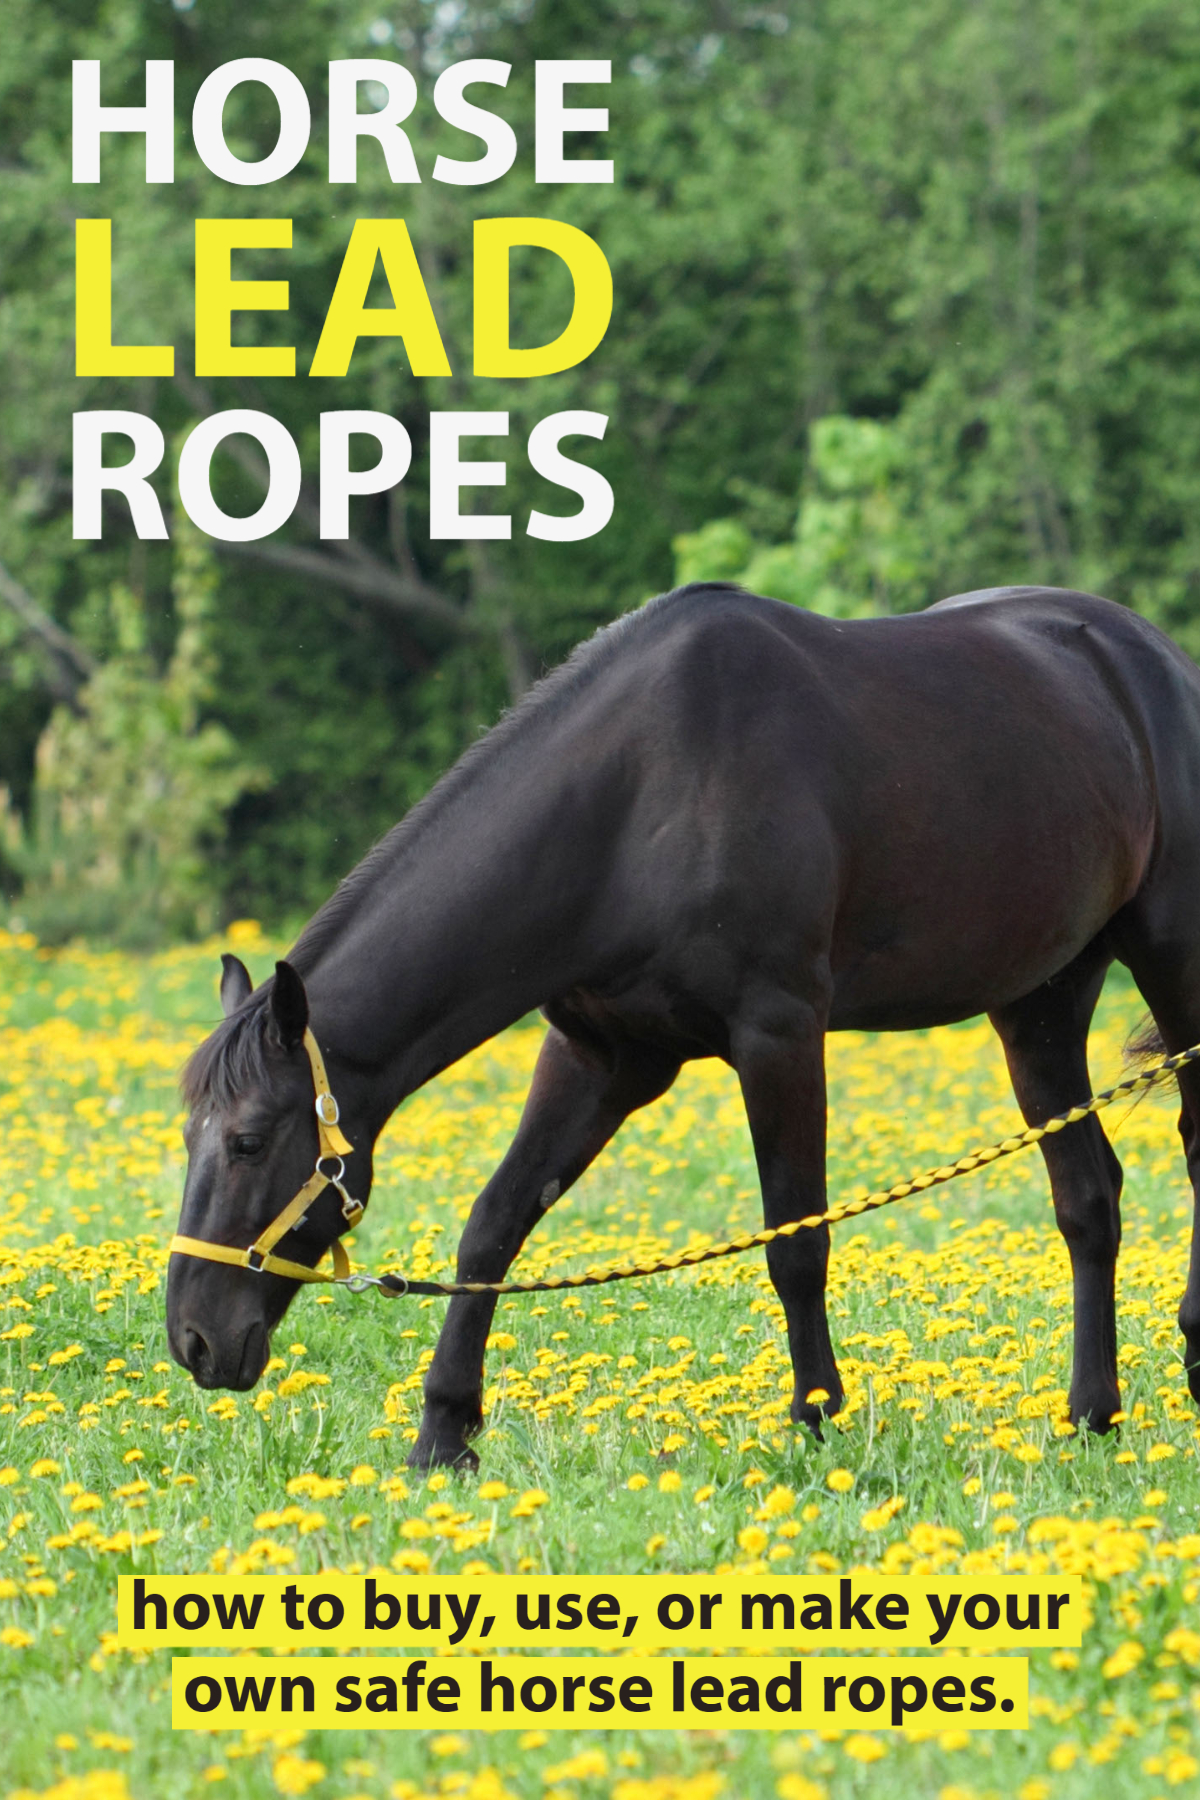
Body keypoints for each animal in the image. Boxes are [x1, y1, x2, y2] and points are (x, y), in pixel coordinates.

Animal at [167, 581, 1200, 1469]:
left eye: (251, 1141)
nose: (193, 1339)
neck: (642, 799)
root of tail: (1153, 660)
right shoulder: (602, 1055)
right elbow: (492, 1227)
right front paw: (444, 1434)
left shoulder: (779, 1035)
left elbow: (796, 1241)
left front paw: (816, 1422)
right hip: (1040, 1003)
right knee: (1087, 1196)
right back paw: (1091, 1416)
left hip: (1171, 961)